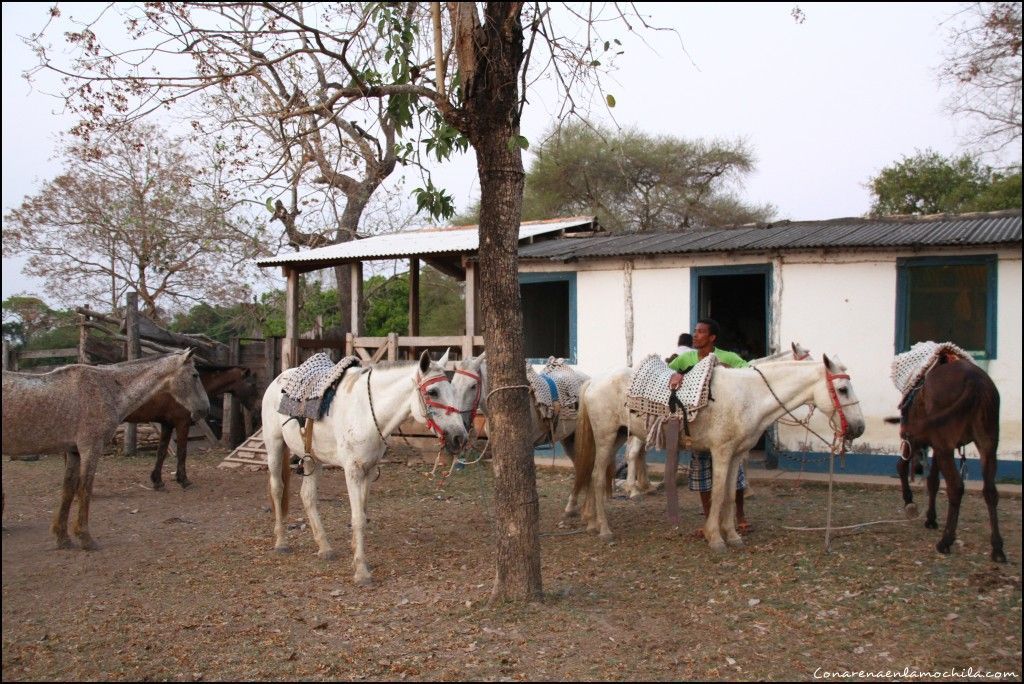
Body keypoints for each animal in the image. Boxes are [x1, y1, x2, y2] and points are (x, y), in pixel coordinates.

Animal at [1, 352, 209, 548]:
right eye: (195, 375)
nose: (204, 409)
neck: (107, 388)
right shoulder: (91, 448)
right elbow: (85, 489)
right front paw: (85, 538)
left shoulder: (74, 451)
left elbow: (68, 490)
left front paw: (63, 538)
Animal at [124, 366, 260, 489]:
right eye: (252, 384)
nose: (258, 409)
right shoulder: (182, 424)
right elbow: (182, 452)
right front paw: (183, 480)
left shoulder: (167, 425)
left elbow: (161, 452)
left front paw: (157, 481)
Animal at [260, 350, 468, 585]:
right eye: (433, 392)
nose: (460, 438)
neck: (366, 412)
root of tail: (279, 379)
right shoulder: (352, 471)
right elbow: (357, 518)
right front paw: (361, 571)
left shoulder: (369, 470)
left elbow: (363, 512)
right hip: (275, 446)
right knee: (277, 489)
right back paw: (281, 542)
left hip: (313, 458)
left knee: (308, 496)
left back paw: (325, 548)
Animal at [577, 356, 864, 548]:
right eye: (842, 389)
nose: (859, 427)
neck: (750, 396)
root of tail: (593, 382)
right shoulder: (722, 452)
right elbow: (716, 493)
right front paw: (716, 538)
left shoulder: (736, 455)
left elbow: (729, 494)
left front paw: (732, 535)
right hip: (606, 438)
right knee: (597, 477)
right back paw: (604, 529)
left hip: (616, 437)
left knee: (593, 474)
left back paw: (591, 522)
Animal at [892, 358, 1003, 561]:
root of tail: (974, 381)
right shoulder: (936, 445)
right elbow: (933, 481)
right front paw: (930, 518)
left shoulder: (922, 440)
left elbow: (903, 466)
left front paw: (910, 501)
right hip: (988, 445)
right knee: (990, 491)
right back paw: (997, 548)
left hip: (945, 445)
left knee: (956, 487)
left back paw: (945, 541)